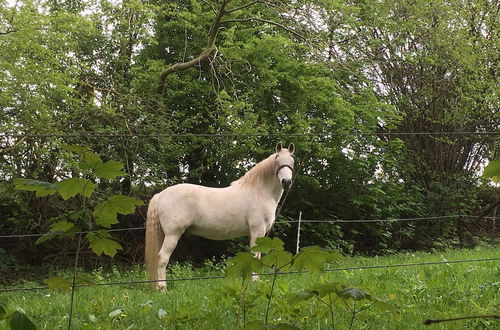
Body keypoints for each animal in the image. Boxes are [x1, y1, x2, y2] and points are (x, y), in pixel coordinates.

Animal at [145, 143, 294, 290]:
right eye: (277, 160)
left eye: (292, 161)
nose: (286, 181)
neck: (259, 191)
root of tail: (161, 195)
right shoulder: (257, 230)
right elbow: (256, 256)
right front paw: (256, 281)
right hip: (173, 234)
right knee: (162, 258)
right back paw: (162, 287)